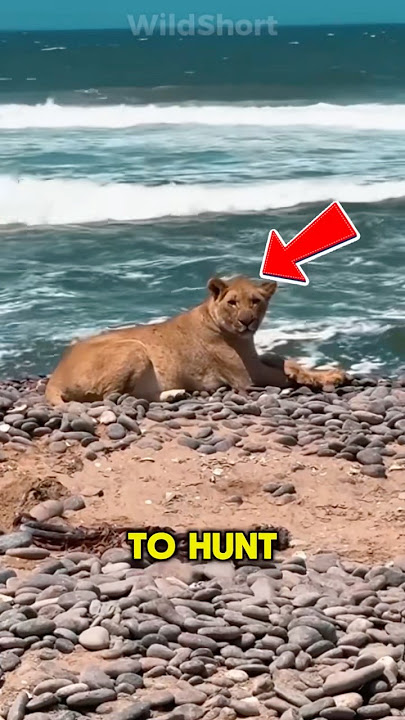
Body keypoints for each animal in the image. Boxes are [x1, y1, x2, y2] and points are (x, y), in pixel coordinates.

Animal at [45, 275, 347, 405]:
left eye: (255, 301)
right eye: (233, 302)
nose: (247, 321)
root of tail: (55, 376)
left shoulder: (255, 359)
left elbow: (284, 360)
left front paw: (318, 371)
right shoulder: (248, 376)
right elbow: (284, 372)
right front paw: (326, 377)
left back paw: (176, 393)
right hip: (133, 348)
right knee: (114, 396)